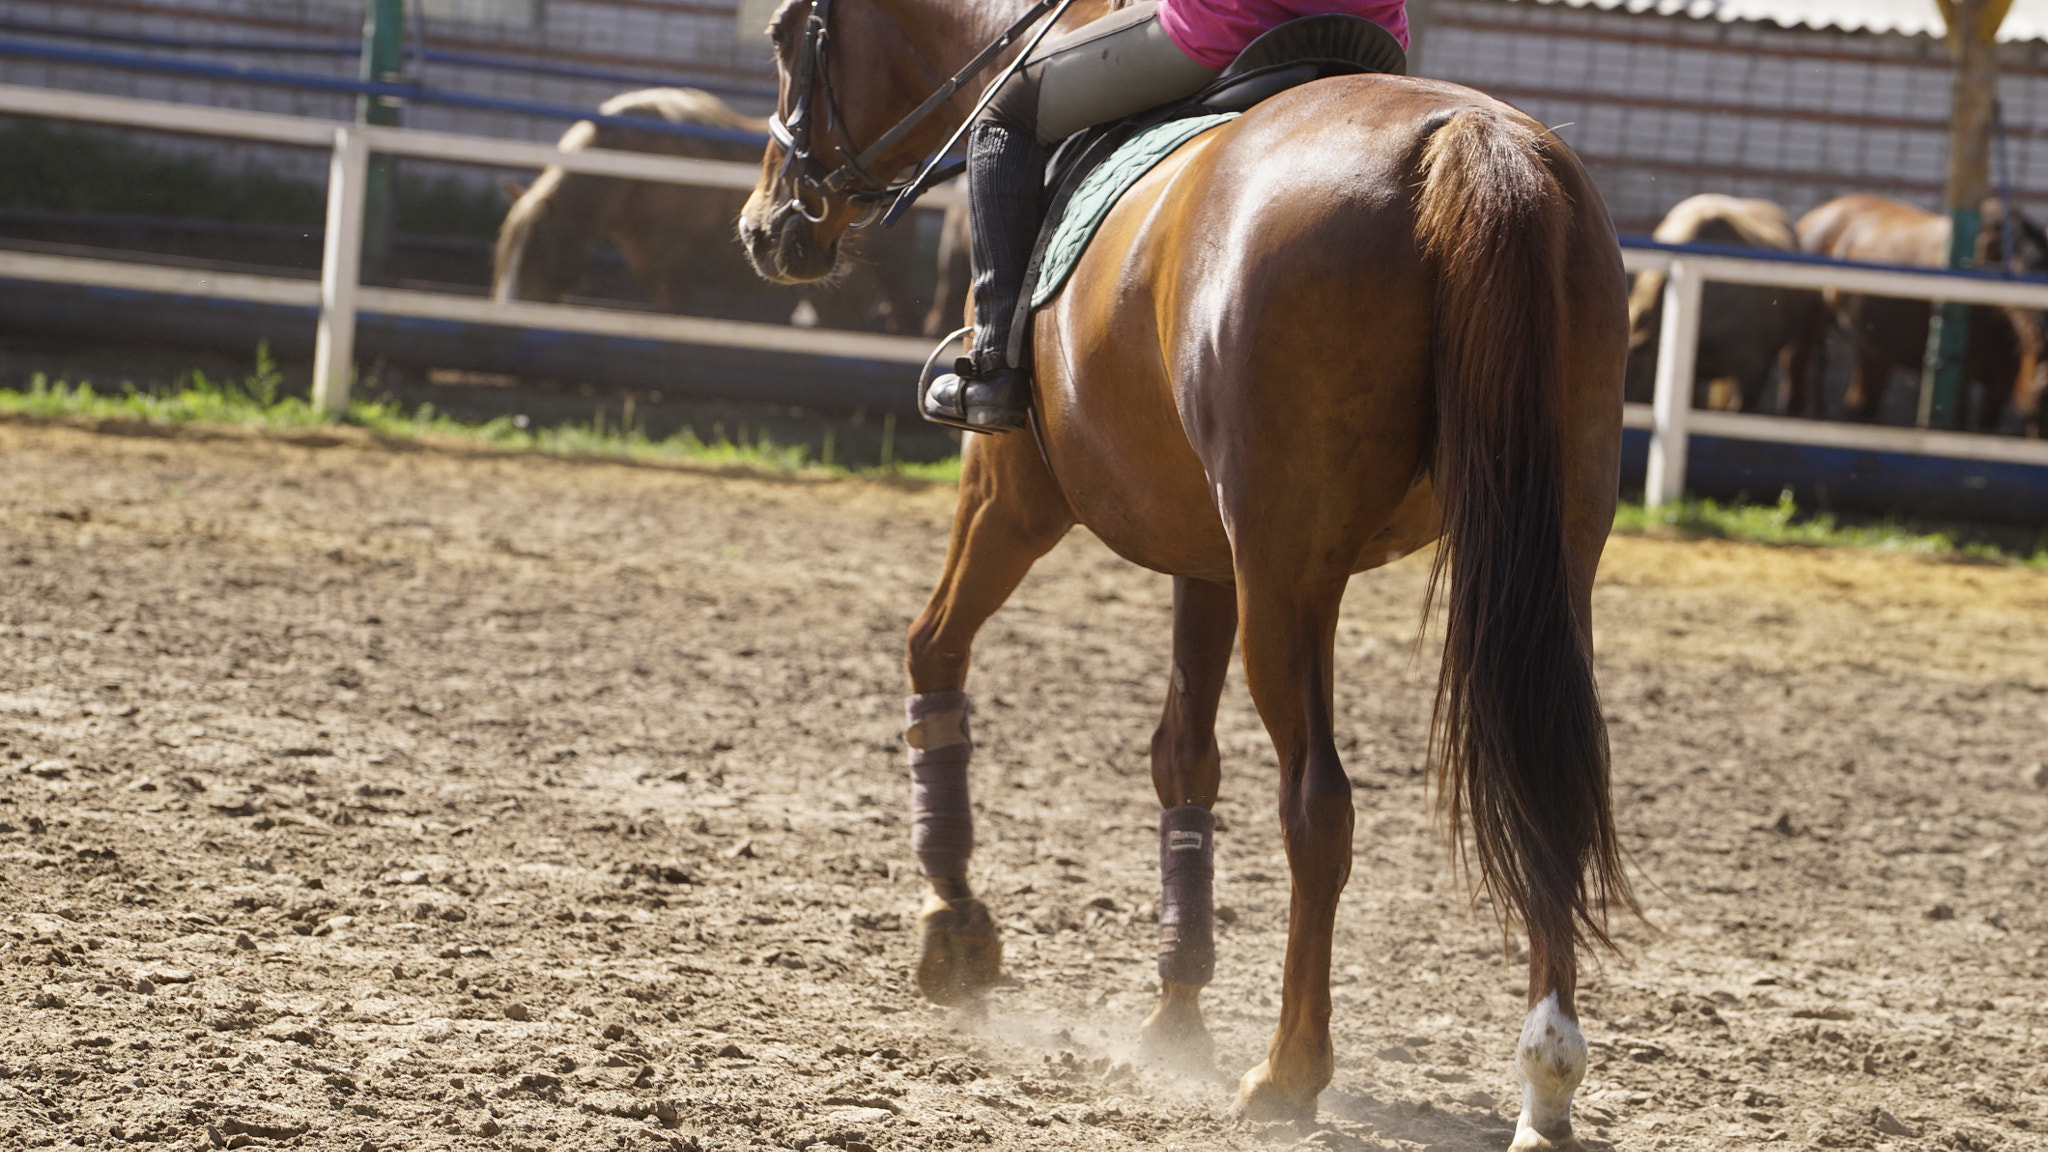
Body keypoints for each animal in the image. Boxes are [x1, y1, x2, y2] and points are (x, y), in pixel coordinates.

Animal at [491, 89, 962, 332]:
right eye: (504, 255)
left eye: (538, 252)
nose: (509, 309)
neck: (633, 175)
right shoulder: (649, 266)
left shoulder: (674, 272)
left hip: (889, 269)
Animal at [737, 0, 1630, 1139]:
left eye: (783, 35)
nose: (767, 227)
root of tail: (1465, 141)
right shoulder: (1207, 561)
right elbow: (1182, 761)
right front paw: (1175, 1012)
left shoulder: (1013, 495)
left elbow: (930, 650)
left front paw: (953, 926)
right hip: (1535, 568)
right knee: (1546, 789)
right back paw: (1544, 1085)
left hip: (1286, 576)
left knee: (1318, 806)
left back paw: (1287, 1073)